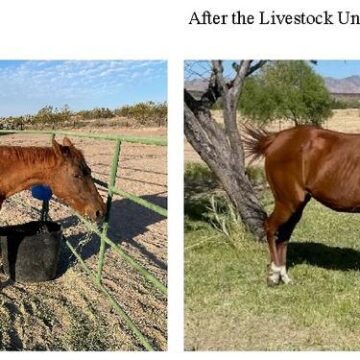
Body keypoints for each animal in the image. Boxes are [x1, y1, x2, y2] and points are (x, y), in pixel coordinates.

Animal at [243, 125, 360, 286]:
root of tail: (275, 139)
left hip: (296, 206)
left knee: (284, 234)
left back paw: (284, 276)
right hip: (287, 202)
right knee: (271, 227)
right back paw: (274, 274)